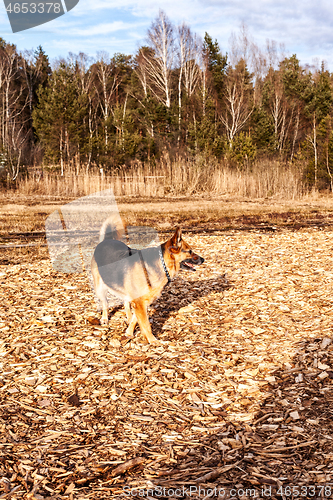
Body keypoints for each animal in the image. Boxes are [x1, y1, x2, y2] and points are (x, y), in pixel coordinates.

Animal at [90, 215, 202, 344]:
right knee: (105, 302)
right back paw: (104, 318)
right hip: (100, 287)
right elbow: (146, 324)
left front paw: (129, 332)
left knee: (126, 303)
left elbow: (136, 319)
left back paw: (128, 317)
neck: (162, 263)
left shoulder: (142, 302)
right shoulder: (140, 303)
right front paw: (153, 341)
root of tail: (106, 240)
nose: (203, 259)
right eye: (190, 251)